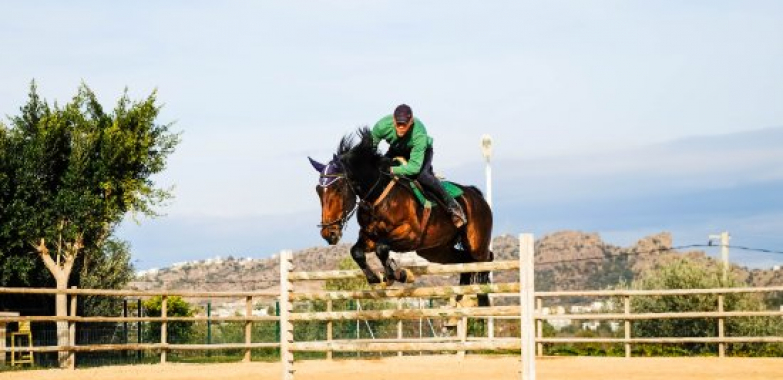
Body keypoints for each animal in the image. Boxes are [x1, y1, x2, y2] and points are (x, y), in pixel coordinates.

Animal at [308, 127, 496, 306]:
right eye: (318, 191)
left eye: (339, 189)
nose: (329, 234)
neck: (377, 195)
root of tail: (476, 194)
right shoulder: (369, 236)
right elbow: (357, 252)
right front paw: (377, 277)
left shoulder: (410, 235)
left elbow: (382, 248)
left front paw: (399, 274)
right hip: (435, 250)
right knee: (464, 262)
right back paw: (460, 297)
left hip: (476, 244)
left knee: (485, 261)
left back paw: (482, 300)